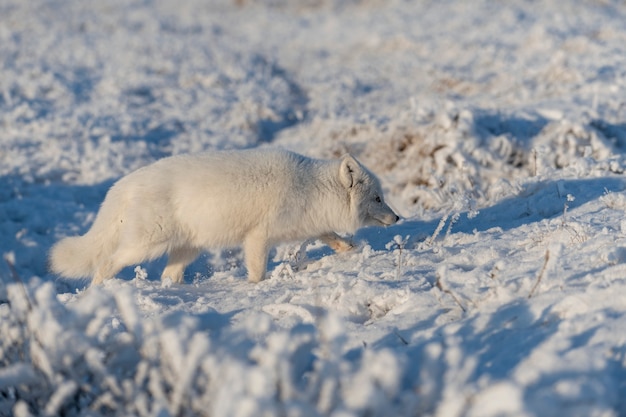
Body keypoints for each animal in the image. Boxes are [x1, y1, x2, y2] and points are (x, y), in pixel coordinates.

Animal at [51, 148, 398, 284]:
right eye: (378, 198)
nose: (398, 219)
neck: (309, 187)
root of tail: (123, 184)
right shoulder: (258, 237)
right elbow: (257, 271)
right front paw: (257, 287)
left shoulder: (305, 224)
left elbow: (328, 235)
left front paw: (348, 249)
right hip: (145, 245)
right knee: (107, 263)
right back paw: (97, 291)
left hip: (188, 249)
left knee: (168, 275)